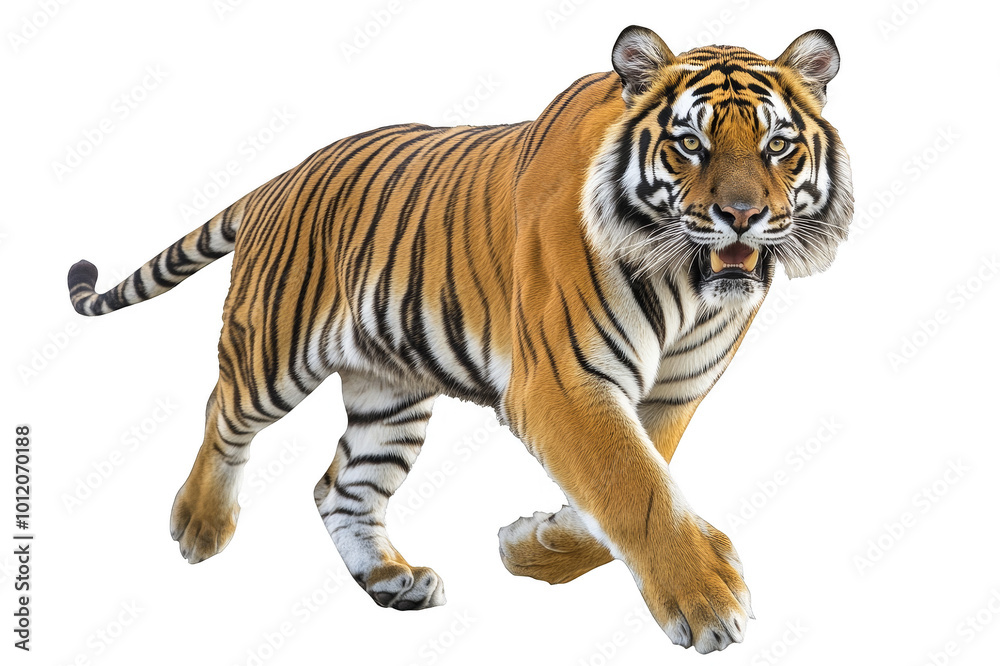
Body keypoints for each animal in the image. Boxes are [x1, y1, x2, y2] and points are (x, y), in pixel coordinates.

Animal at [66, 26, 853, 654]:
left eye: (778, 146)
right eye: (690, 144)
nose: (742, 216)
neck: (688, 285)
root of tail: (281, 177)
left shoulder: (673, 395)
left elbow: (633, 486)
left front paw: (535, 548)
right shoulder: (562, 382)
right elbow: (633, 487)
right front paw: (709, 601)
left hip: (391, 395)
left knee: (339, 486)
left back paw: (391, 579)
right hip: (274, 351)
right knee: (222, 413)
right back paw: (199, 525)